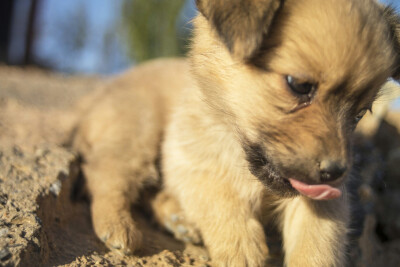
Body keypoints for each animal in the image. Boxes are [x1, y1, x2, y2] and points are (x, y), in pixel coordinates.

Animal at [72, 1, 400, 266]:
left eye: (360, 112)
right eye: (299, 86)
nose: (335, 172)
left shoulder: (319, 202)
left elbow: (316, 247)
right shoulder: (194, 165)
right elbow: (224, 205)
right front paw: (242, 250)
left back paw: (177, 218)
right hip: (137, 131)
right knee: (104, 175)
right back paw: (118, 226)